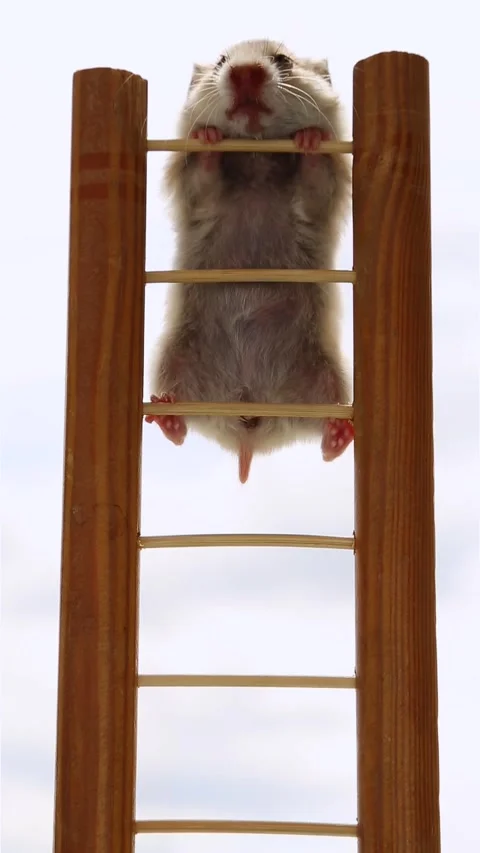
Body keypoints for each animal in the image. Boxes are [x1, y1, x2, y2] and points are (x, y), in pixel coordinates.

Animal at [146, 39, 354, 483]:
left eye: (283, 60)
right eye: (222, 62)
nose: (245, 73)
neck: (257, 157)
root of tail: (249, 426)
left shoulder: (321, 197)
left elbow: (315, 178)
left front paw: (309, 138)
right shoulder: (196, 195)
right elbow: (203, 175)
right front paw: (208, 136)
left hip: (328, 374)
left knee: (325, 440)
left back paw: (338, 431)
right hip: (174, 357)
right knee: (181, 427)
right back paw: (167, 413)